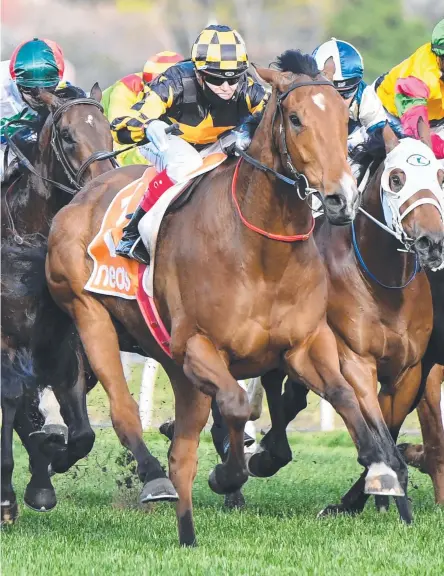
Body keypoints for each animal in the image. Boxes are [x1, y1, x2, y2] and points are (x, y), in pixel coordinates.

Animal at [0, 84, 115, 520]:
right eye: (67, 135)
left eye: (108, 128)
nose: (103, 185)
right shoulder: (8, 344)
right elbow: (14, 403)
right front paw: (11, 495)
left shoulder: (64, 342)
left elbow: (80, 432)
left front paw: (49, 465)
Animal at [35, 51, 420, 548]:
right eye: (295, 119)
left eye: (342, 119)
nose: (341, 198)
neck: (260, 254)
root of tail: (81, 196)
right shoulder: (198, 345)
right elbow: (237, 405)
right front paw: (228, 475)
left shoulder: (303, 344)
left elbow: (343, 395)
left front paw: (382, 469)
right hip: (91, 317)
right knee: (123, 410)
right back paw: (150, 476)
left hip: (166, 356)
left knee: (181, 439)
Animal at [246, 134, 444, 520]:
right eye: (396, 179)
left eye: (441, 177)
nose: (432, 242)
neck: (384, 282)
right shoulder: (354, 360)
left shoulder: (411, 370)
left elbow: (388, 428)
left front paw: (380, 494)